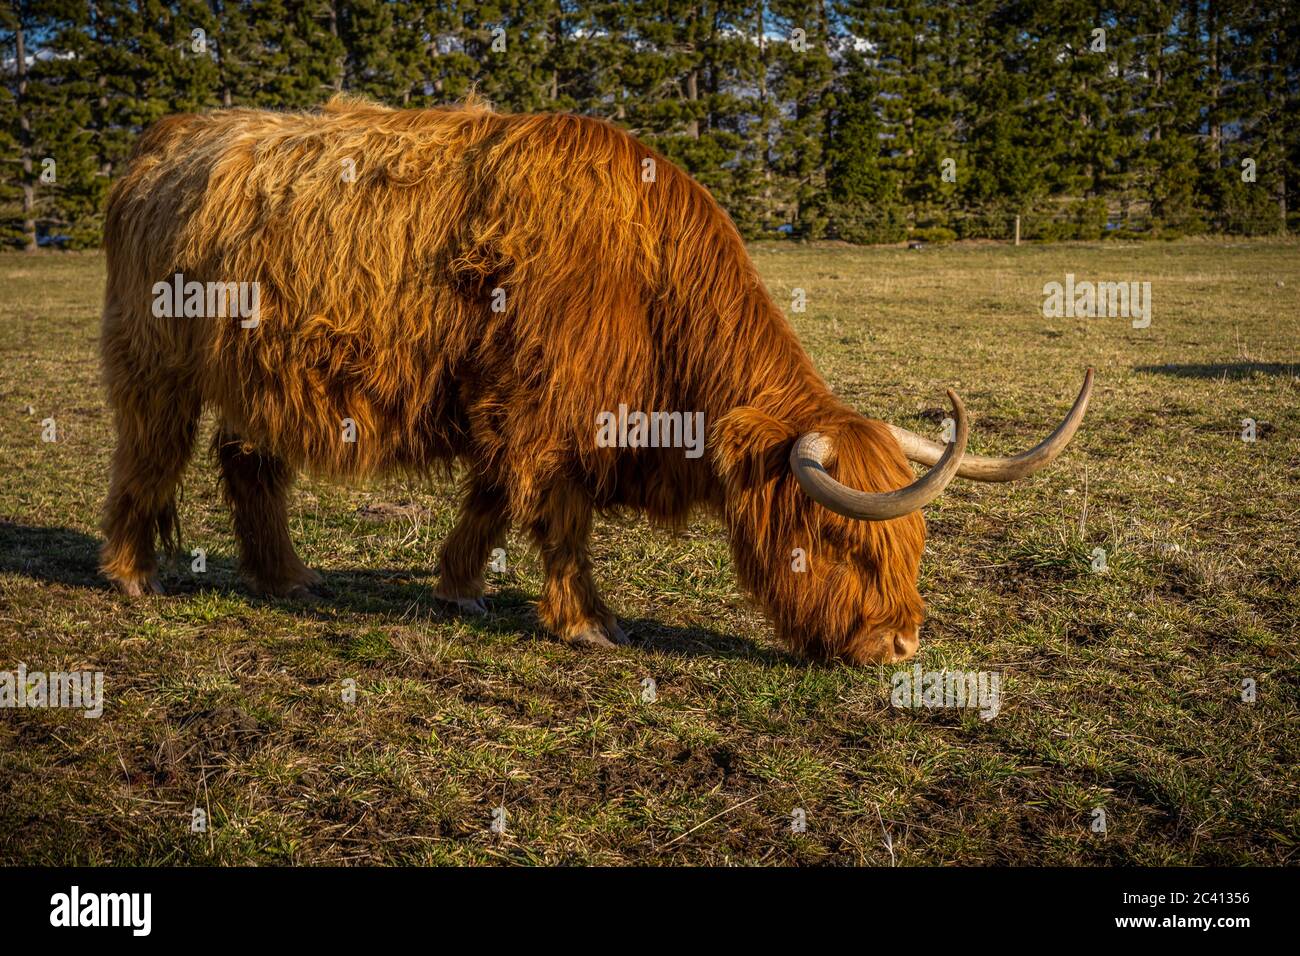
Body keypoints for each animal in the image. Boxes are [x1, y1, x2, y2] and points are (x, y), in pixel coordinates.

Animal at [99, 95, 1092, 665]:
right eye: (844, 542)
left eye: (914, 547)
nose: (901, 645)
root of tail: (166, 141)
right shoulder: (548, 410)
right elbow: (560, 519)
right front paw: (587, 622)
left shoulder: (511, 410)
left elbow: (490, 503)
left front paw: (457, 587)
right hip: (156, 359)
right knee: (147, 455)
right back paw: (133, 576)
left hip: (255, 373)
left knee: (247, 462)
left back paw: (285, 578)